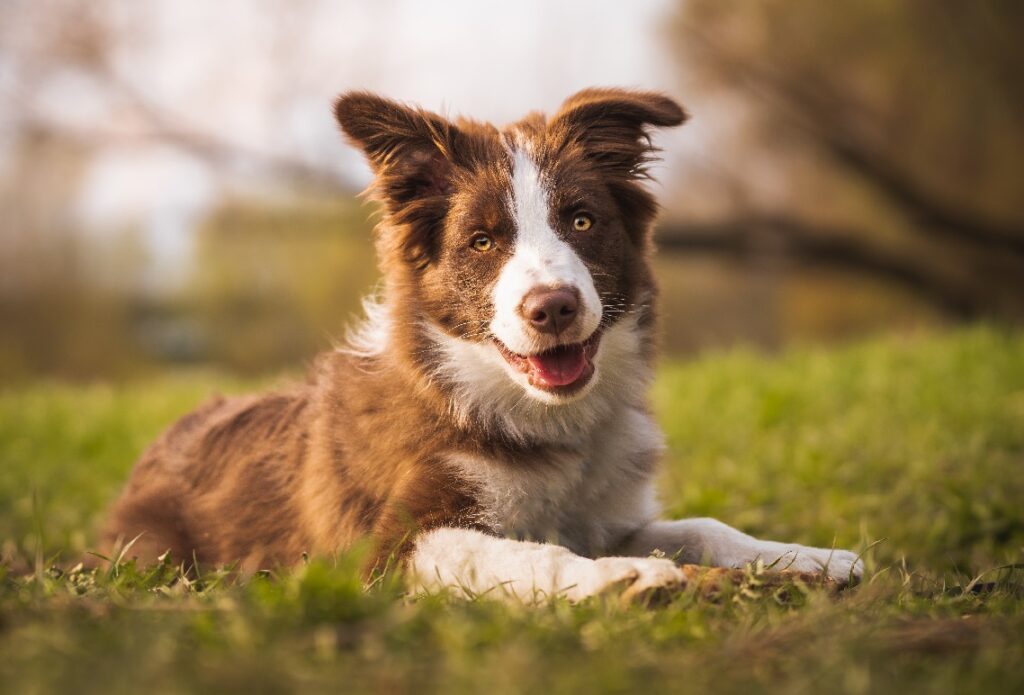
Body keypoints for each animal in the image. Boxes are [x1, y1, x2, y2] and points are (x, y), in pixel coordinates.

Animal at [99, 89, 860, 601]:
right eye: (483, 241)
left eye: (582, 220)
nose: (553, 307)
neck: (538, 419)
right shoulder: (387, 549)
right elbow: (521, 555)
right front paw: (626, 577)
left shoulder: (601, 514)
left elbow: (705, 525)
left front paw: (811, 557)